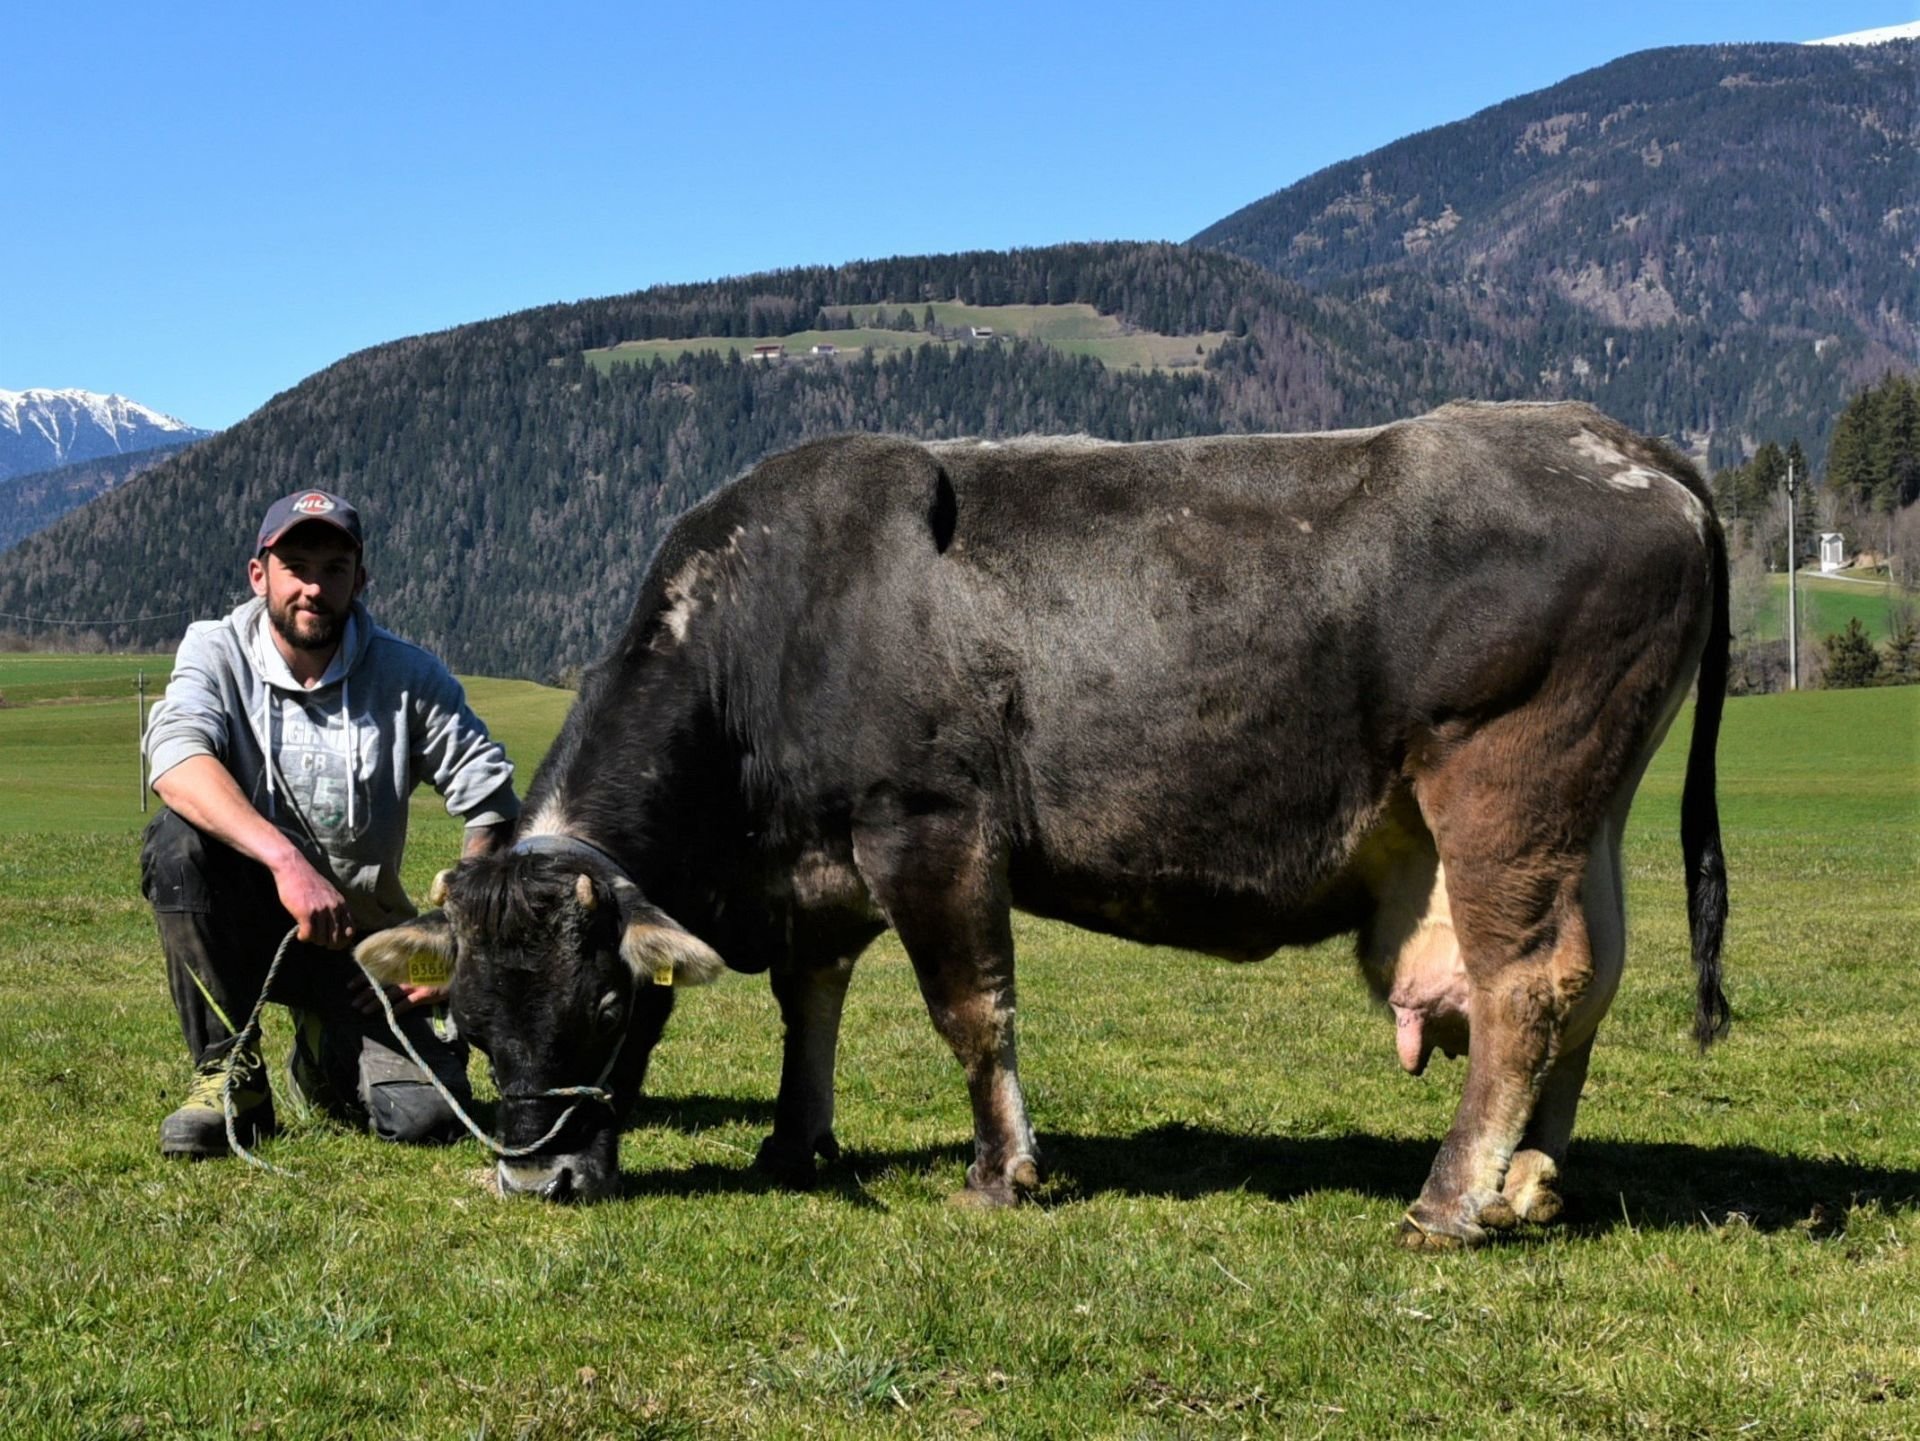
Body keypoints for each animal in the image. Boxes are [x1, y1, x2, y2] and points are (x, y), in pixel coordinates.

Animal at [357, 401, 1728, 1243]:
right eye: (466, 1022)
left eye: (605, 1004)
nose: (537, 1176)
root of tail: (1609, 436)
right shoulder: (818, 869)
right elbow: (811, 1000)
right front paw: (794, 1144)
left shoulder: (929, 828)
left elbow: (972, 1011)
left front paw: (997, 1172)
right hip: (1590, 818)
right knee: (1595, 974)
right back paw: (1530, 1177)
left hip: (1505, 790)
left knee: (1525, 986)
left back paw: (1450, 1199)